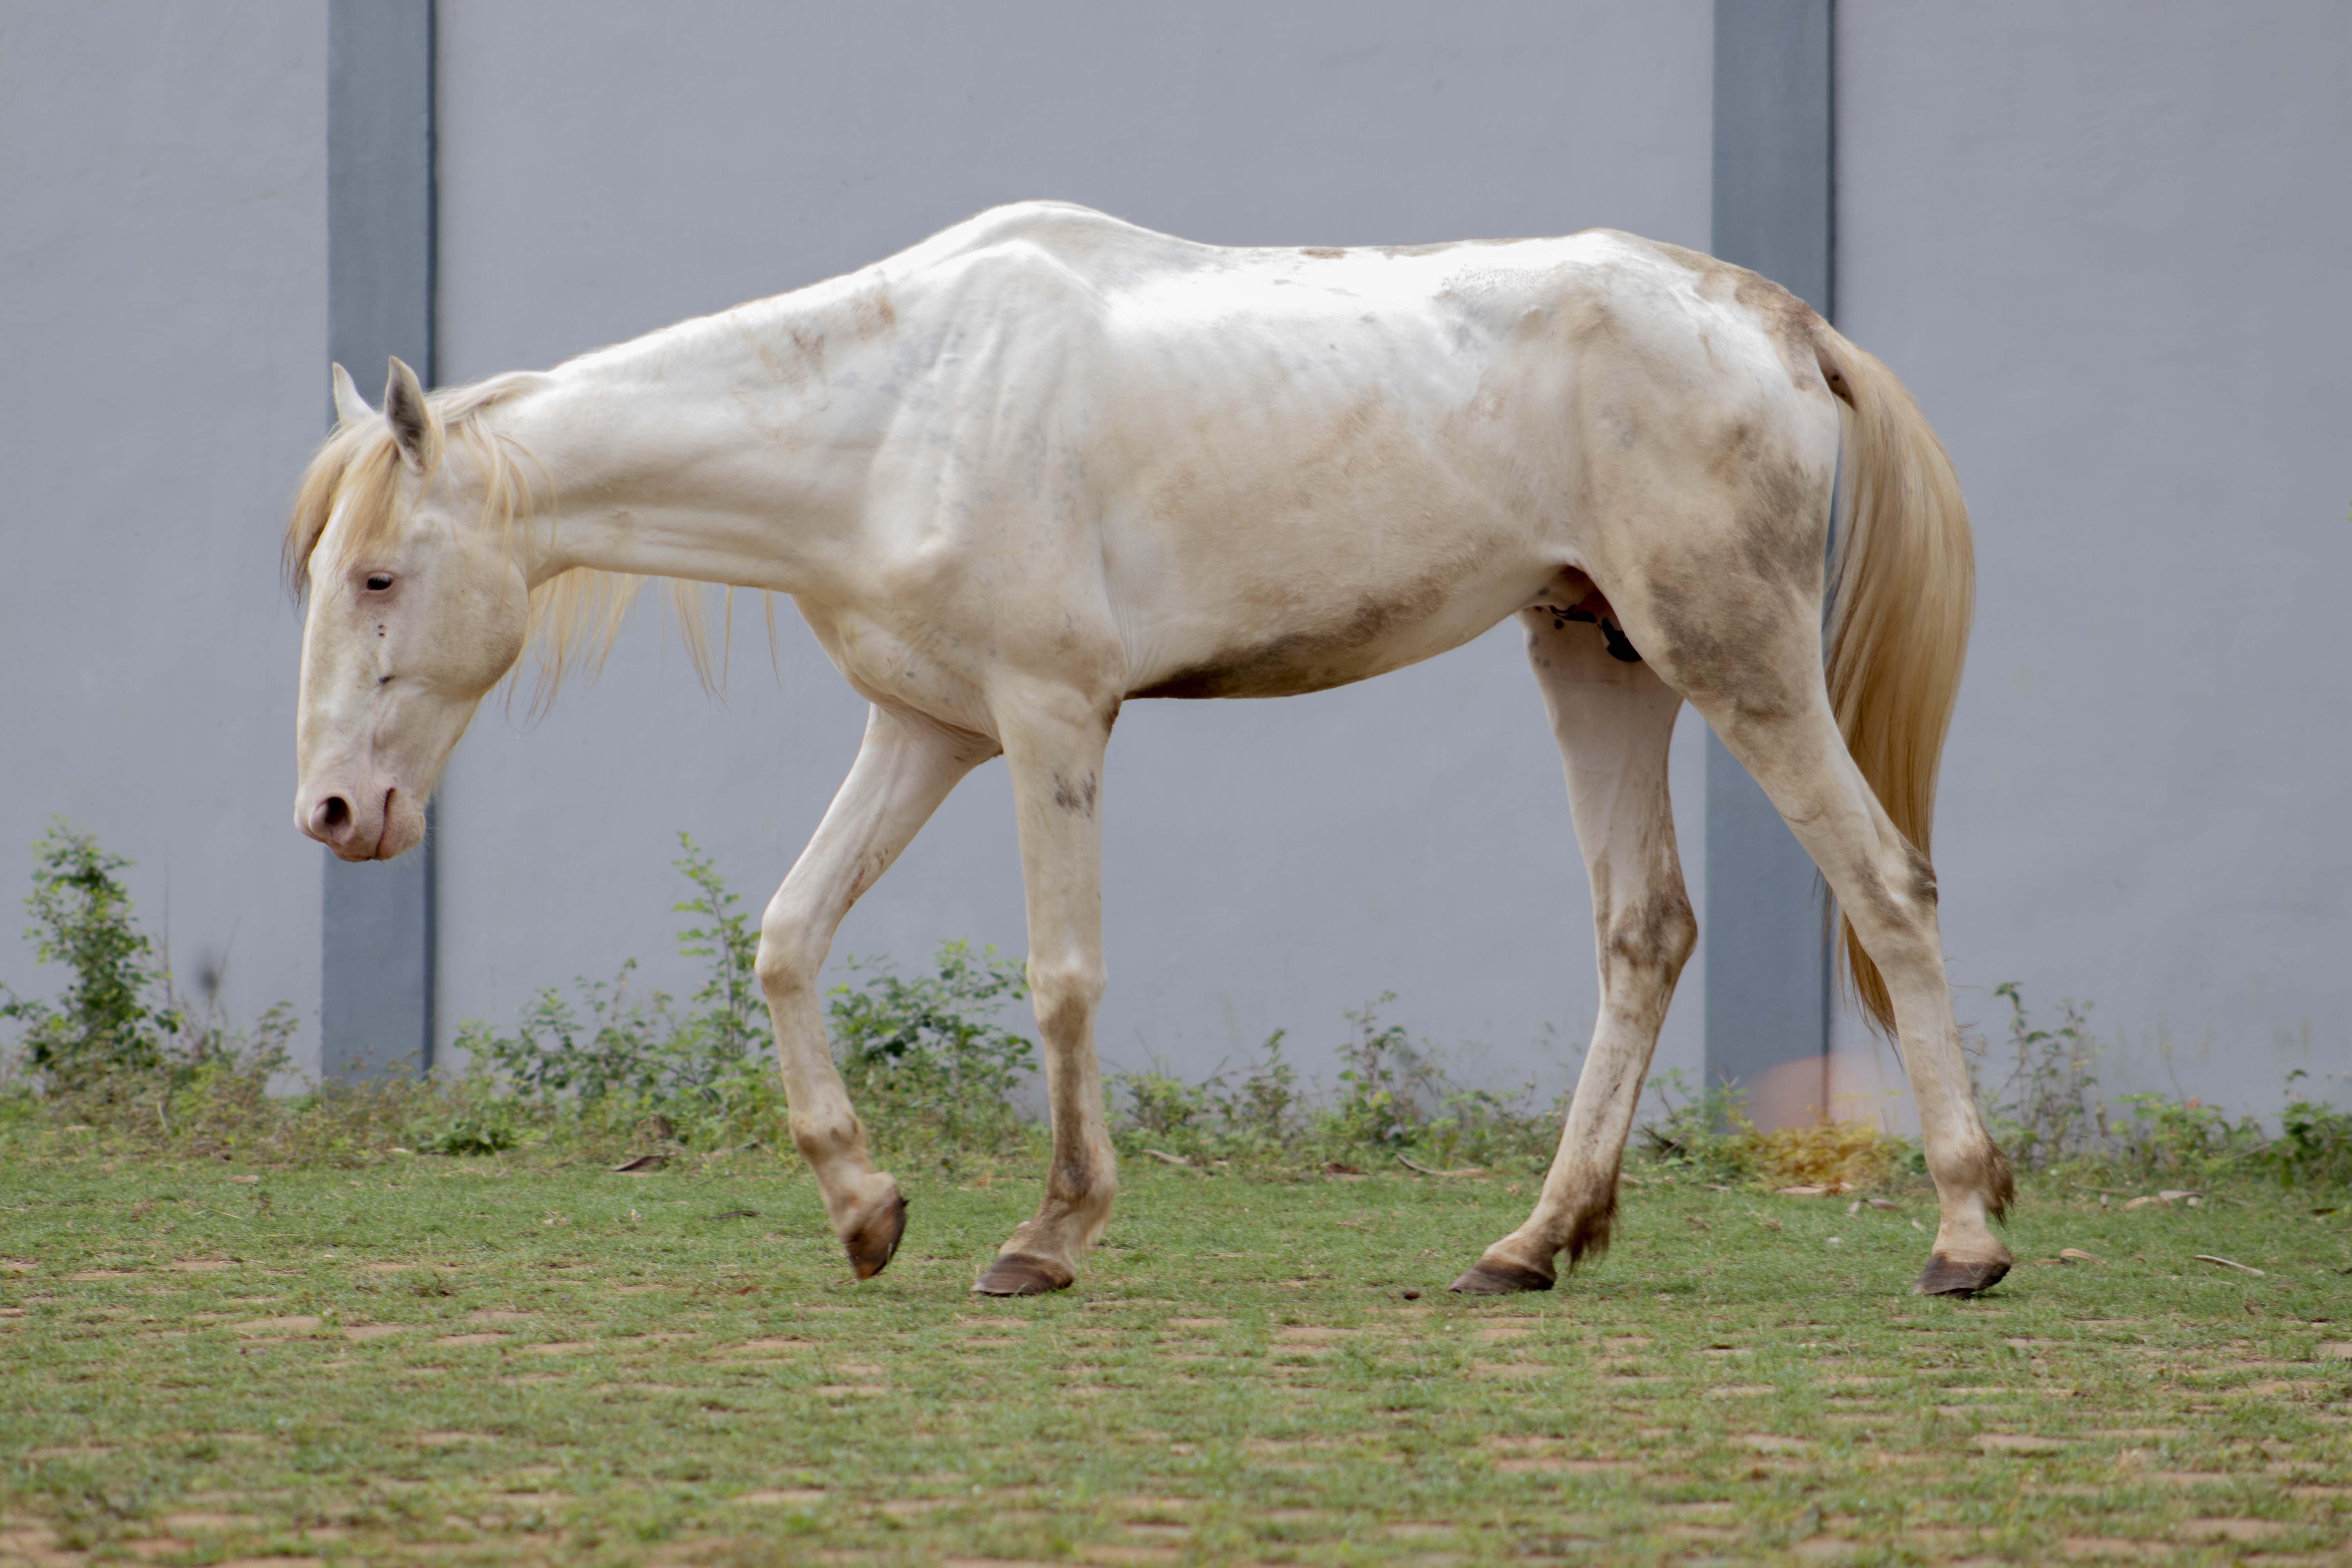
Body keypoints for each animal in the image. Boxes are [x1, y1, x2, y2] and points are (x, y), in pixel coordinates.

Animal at [285, 200, 2004, 1298]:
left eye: (378, 575)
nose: (335, 810)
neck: (902, 408)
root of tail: (1781, 325)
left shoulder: (1052, 720)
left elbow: (1061, 981)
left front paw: (1046, 1238)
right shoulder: (926, 732)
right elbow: (786, 938)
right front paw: (866, 1209)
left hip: (1738, 663)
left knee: (1888, 886)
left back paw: (1967, 1238)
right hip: (1599, 661)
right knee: (1644, 932)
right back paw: (1530, 1247)